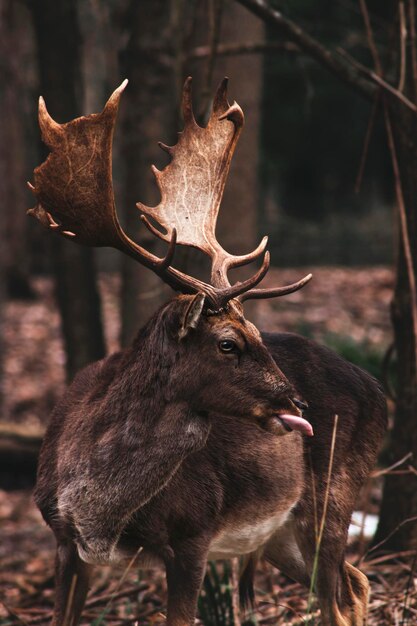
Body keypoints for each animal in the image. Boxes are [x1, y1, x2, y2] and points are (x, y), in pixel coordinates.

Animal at [29, 79, 386, 624]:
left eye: (258, 332)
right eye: (228, 343)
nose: (296, 402)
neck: (96, 510)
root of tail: (379, 391)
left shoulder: (193, 534)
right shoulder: (64, 542)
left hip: (334, 496)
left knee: (339, 600)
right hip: (279, 532)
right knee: (358, 583)